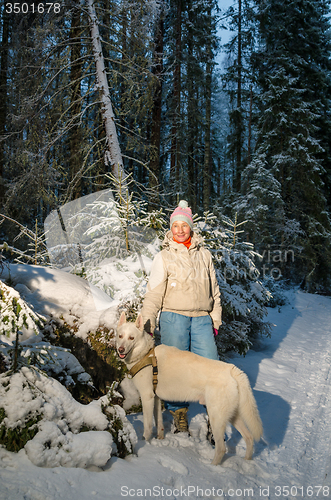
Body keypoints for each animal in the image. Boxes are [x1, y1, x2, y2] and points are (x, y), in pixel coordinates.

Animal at [116, 312, 264, 464]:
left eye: (131, 338)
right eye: (120, 336)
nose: (120, 349)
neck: (145, 354)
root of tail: (232, 370)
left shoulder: (147, 397)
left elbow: (147, 426)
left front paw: (145, 442)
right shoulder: (155, 398)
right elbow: (159, 423)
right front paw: (160, 440)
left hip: (216, 416)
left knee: (222, 448)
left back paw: (213, 466)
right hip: (233, 415)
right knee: (249, 437)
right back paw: (247, 461)